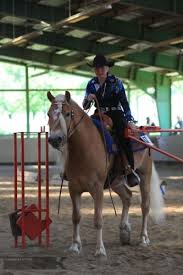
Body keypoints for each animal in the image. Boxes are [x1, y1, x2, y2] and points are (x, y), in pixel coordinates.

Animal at [47, 91, 164, 258]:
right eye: (48, 113)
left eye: (68, 113)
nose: (54, 139)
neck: (85, 149)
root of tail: (142, 133)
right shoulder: (73, 188)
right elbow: (76, 217)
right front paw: (75, 246)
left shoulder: (97, 189)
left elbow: (98, 219)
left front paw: (100, 250)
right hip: (116, 181)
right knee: (127, 197)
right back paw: (124, 230)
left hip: (144, 175)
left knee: (145, 205)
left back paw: (143, 238)